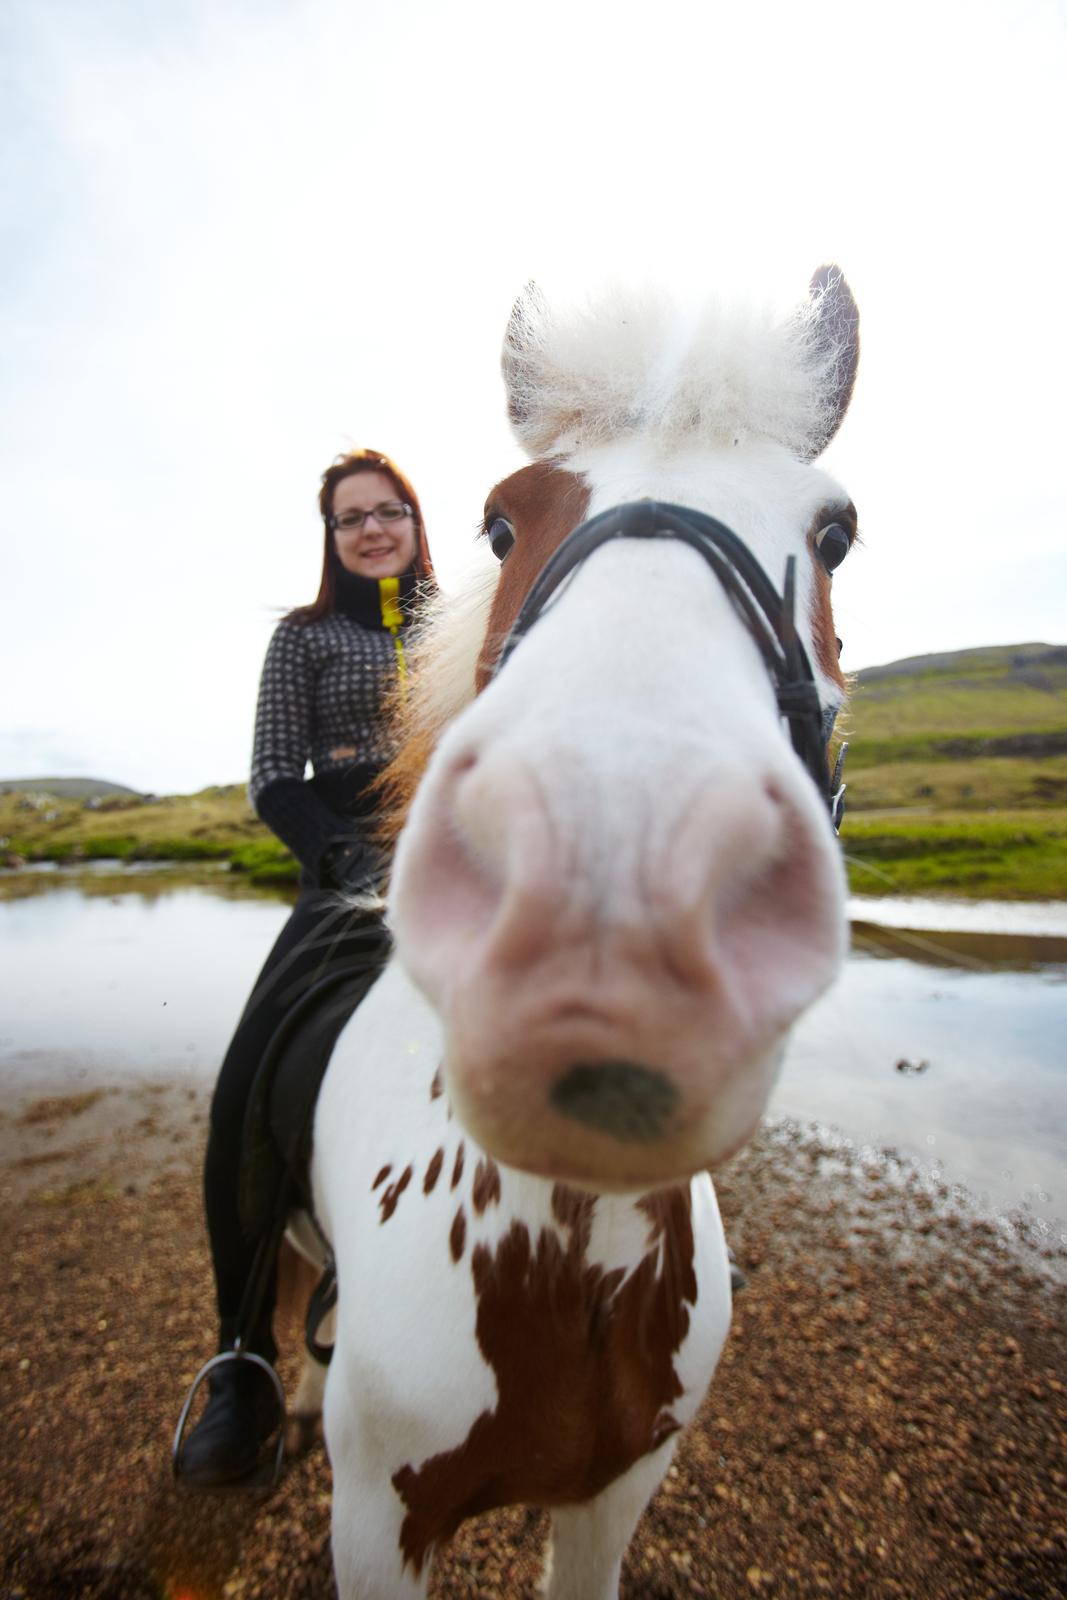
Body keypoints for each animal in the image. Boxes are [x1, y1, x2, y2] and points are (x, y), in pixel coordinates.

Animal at [295, 268, 863, 1593]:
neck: (575, 1259)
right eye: (503, 523)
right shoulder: (377, 1520)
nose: (608, 883)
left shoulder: (617, 1491)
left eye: (833, 533)